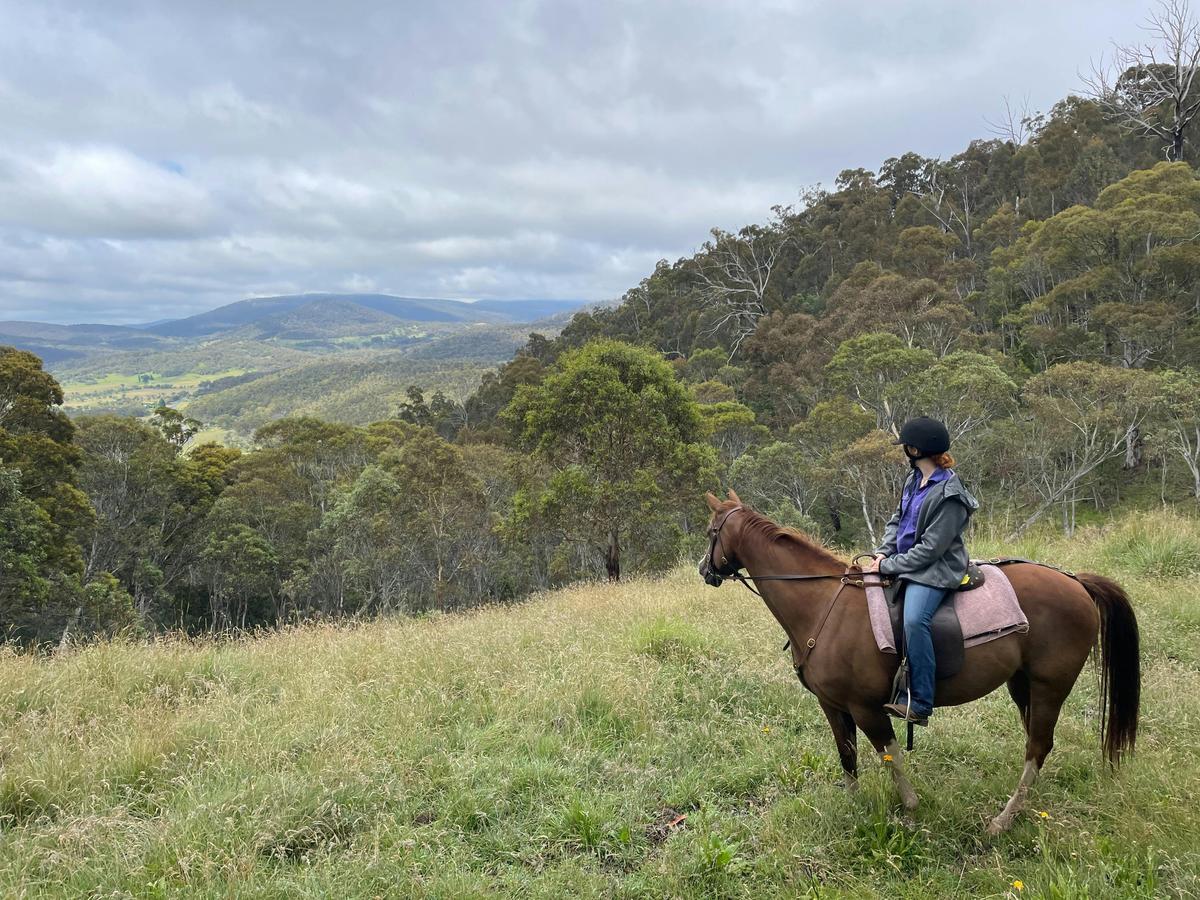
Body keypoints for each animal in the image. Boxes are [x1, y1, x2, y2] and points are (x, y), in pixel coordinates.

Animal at [698, 490, 1140, 833]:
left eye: (709, 533)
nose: (704, 570)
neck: (824, 605)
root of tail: (1077, 581)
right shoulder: (832, 705)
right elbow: (847, 756)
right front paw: (853, 808)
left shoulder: (866, 707)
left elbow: (889, 755)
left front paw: (910, 809)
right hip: (1022, 685)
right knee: (1037, 743)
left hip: (1050, 686)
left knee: (1038, 745)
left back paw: (1003, 820)